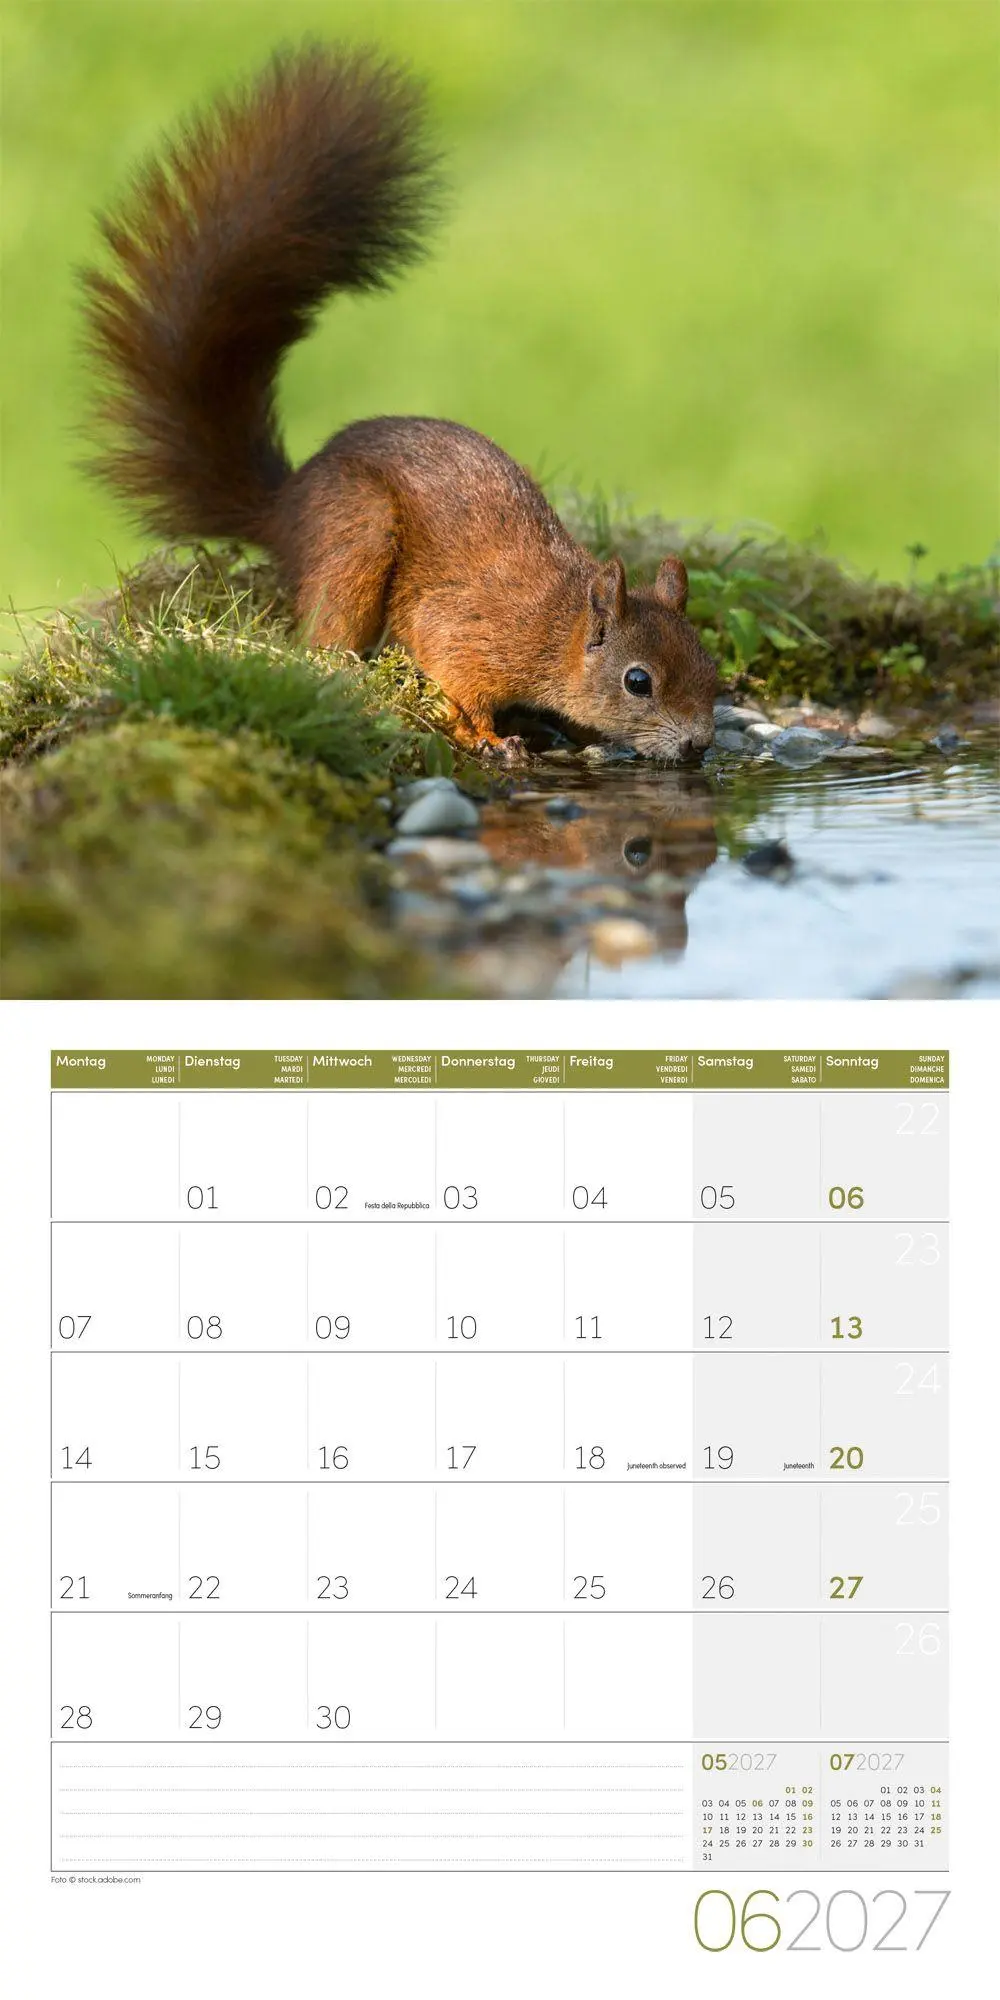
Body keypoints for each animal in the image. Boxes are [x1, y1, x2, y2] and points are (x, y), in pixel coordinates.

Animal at [80, 43, 717, 764]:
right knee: (323, 637)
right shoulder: (466, 632)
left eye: (711, 668)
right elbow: (456, 681)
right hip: (356, 532)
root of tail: (283, 508)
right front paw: (486, 737)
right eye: (639, 681)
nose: (699, 746)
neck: (559, 627)